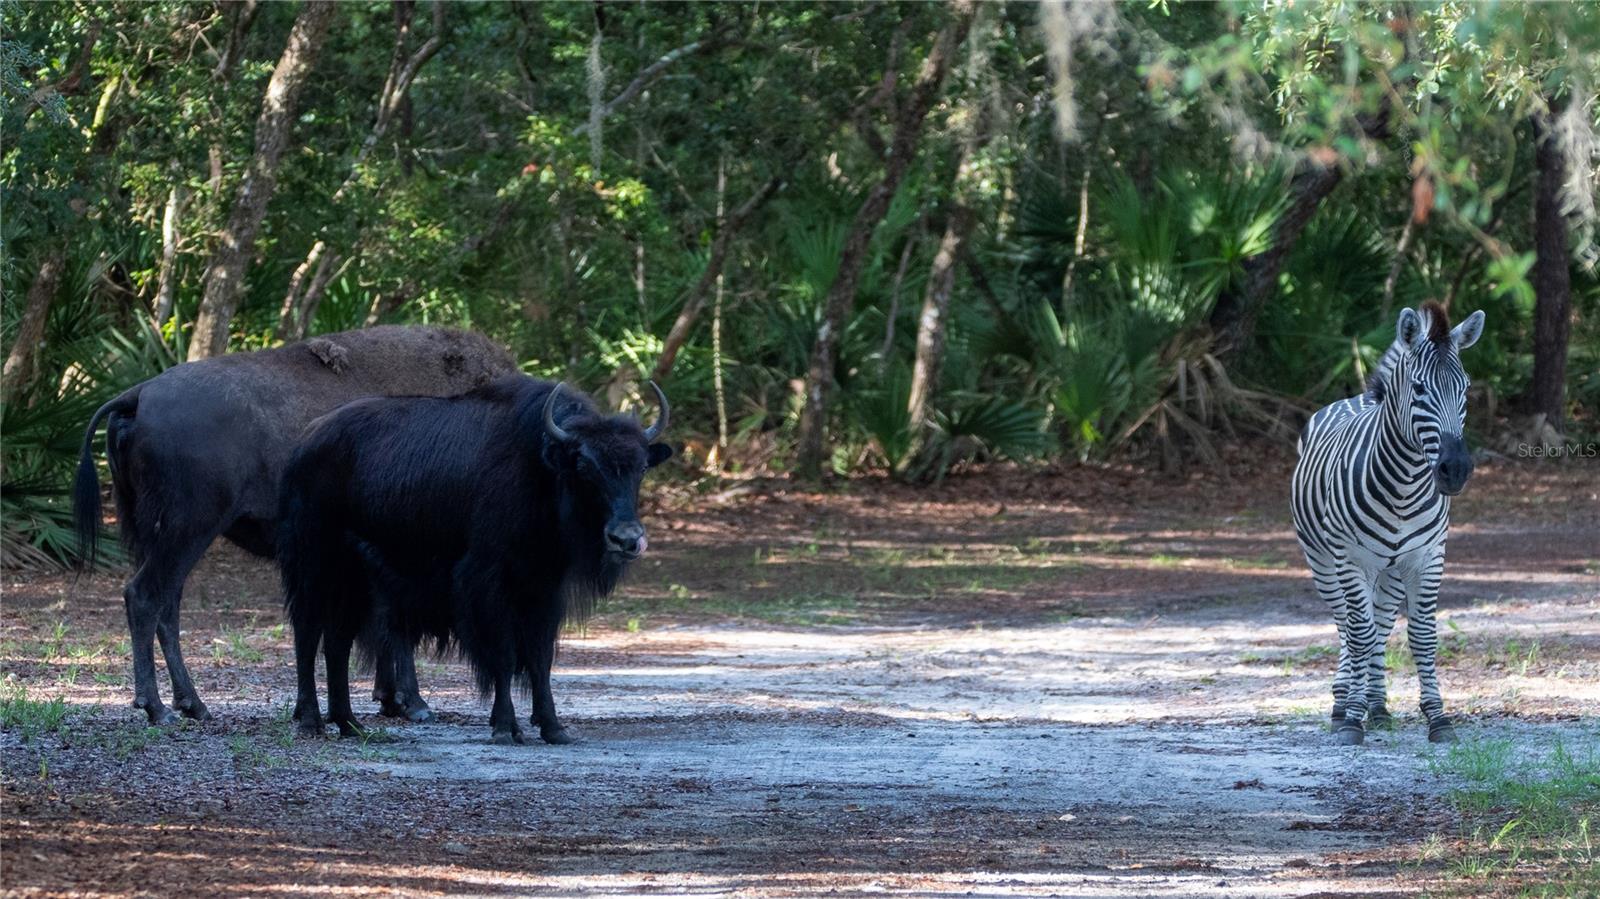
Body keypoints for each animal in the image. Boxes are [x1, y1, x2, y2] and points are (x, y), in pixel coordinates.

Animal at [75, 324, 515, 723]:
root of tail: (139, 395)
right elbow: (394, 629)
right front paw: (414, 704)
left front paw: (392, 700)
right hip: (188, 530)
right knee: (145, 597)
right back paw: (158, 709)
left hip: (159, 536)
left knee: (167, 606)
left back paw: (193, 706)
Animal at [281, 374, 668, 739]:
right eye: (584, 466)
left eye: (641, 467)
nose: (627, 538)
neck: (540, 468)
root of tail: (304, 442)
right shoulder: (487, 582)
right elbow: (503, 654)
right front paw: (505, 727)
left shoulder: (543, 587)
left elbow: (540, 657)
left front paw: (553, 728)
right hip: (313, 565)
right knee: (307, 632)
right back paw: (312, 721)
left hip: (353, 578)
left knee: (338, 640)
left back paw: (349, 723)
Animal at [1286, 300, 1484, 742]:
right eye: (1420, 389)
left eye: (1465, 389)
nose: (1455, 470)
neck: (1404, 488)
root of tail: (1358, 397)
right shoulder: (1351, 559)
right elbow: (1358, 633)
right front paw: (1350, 719)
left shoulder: (1427, 558)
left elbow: (1421, 635)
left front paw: (1438, 718)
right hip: (1323, 562)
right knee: (1348, 625)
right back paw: (1344, 704)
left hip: (1391, 570)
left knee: (1379, 623)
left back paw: (1376, 706)